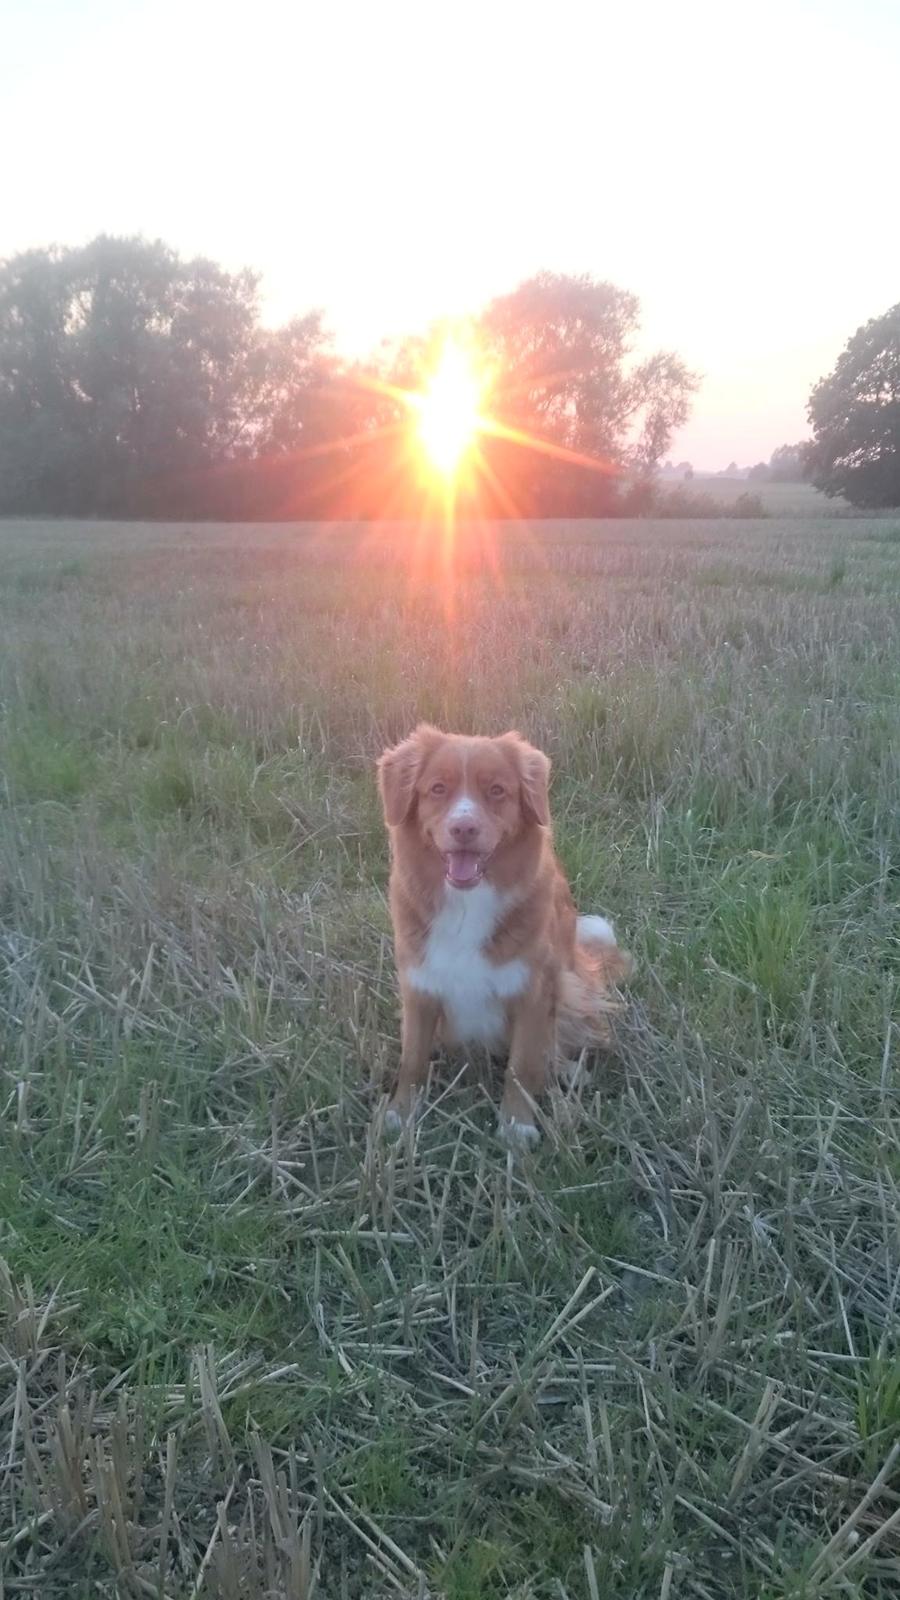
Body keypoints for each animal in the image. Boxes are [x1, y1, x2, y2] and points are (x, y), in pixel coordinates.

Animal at [376, 720, 630, 1145]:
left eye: (497, 790)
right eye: (437, 788)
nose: (464, 827)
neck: (467, 903)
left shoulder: (533, 990)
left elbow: (522, 1067)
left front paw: (517, 1125)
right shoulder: (420, 986)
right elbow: (412, 1060)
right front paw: (400, 1114)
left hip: (570, 982)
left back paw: (567, 1070)